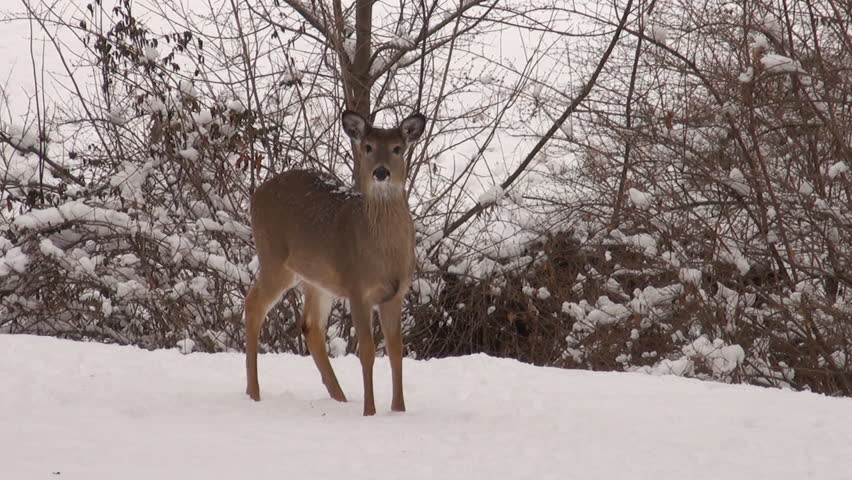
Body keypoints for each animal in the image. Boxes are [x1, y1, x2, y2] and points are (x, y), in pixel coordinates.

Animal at [244, 109, 426, 416]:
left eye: (397, 148)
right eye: (367, 147)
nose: (381, 172)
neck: (385, 255)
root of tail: (256, 194)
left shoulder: (396, 293)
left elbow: (395, 349)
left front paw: (399, 410)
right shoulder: (357, 287)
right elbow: (367, 350)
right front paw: (369, 411)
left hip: (315, 278)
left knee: (310, 325)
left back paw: (339, 397)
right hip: (274, 258)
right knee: (253, 303)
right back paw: (253, 393)